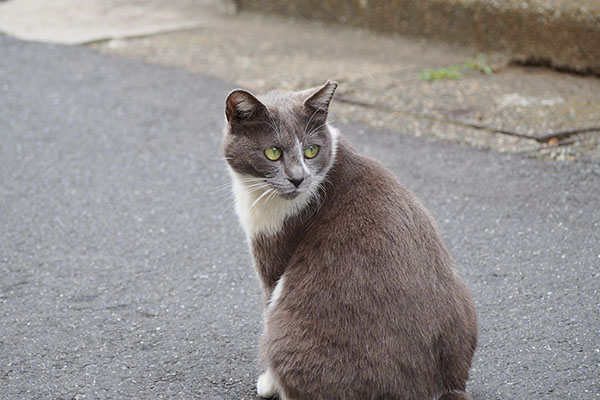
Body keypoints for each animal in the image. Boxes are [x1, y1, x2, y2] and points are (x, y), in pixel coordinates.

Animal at [223, 81, 476, 400]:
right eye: (272, 152)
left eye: (311, 150)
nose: (297, 179)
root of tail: (444, 389)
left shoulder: (274, 258)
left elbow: (267, 308)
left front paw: (267, 383)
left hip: (290, 338)